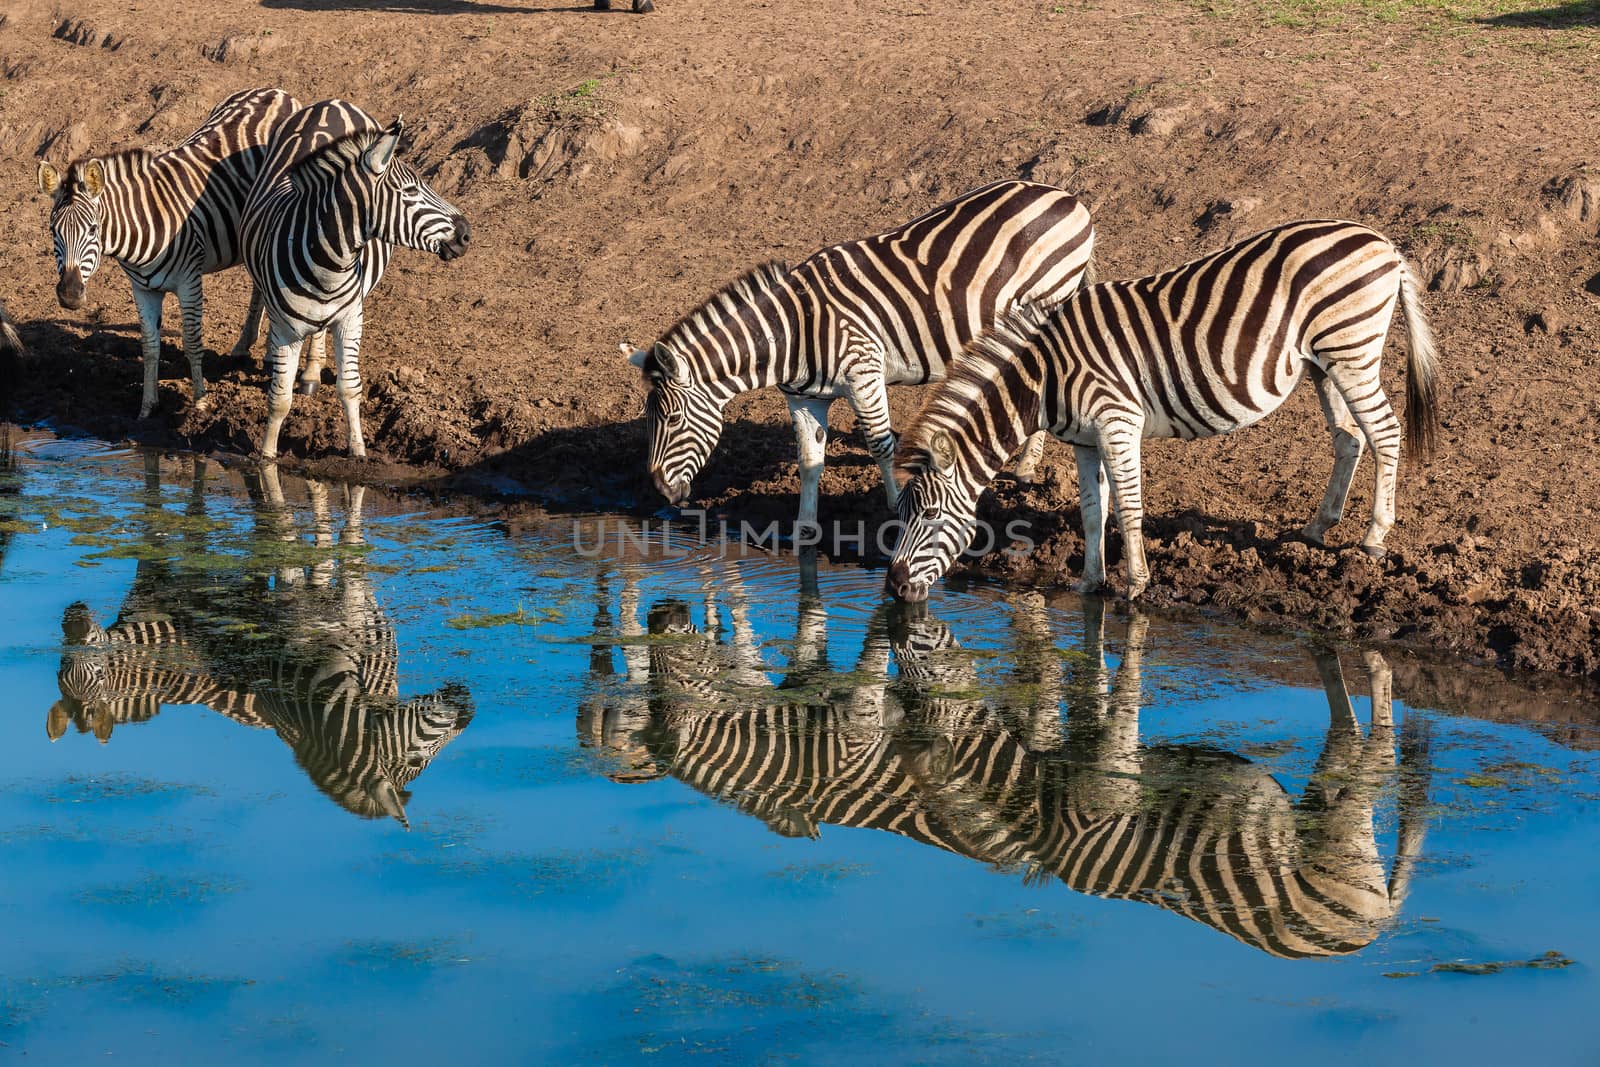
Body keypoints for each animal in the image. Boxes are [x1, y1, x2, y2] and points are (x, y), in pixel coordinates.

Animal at [35, 85, 321, 419]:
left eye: (93, 229)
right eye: (53, 231)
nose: (69, 295)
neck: (141, 227)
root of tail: (276, 91)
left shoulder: (189, 281)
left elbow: (192, 341)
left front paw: (200, 401)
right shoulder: (142, 289)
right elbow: (149, 345)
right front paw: (147, 406)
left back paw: (309, 371)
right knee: (260, 285)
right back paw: (249, 347)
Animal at [241, 101, 467, 463]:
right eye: (410, 191)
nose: (466, 234)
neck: (328, 268)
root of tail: (335, 103)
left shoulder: (350, 319)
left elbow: (349, 387)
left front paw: (358, 450)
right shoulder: (287, 330)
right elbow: (279, 398)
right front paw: (267, 455)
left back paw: (310, 373)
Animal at [624, 181, 1100, 527]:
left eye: (672, 419)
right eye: (649, 419)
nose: (661, 492)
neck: (792, 331)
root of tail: (1064, 195)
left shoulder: (863, 373)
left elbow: (882, 444)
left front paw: (896, 506)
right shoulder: (804, 398)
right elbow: (809, 459)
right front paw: (804, 527)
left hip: (1048, 297)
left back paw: (1026, 466)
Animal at [889, 219, 1440, 601]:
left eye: (932, 515)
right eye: (901, 513)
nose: (893, 586)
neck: (1044, 377)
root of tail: (1382, 242)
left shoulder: (1117, 421)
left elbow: (1128, 508)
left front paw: (1135, 584)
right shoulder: (1084, 440)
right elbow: (1092, 511)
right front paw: (1090, 583)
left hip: (1351, 349)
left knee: (1385, 432)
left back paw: (1373, 537)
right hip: (1323, 363)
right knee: (1350, 436)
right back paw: (1317, 527)